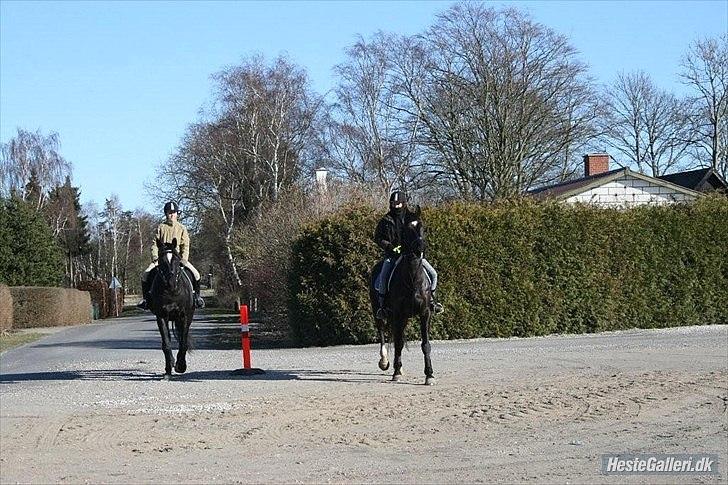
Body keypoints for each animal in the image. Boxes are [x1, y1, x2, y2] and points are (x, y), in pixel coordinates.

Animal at [148, 238, 195, 378]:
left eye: (176, 260)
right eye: (161, 261)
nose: (171, 283)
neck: (172, 292)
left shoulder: (184, 317)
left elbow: (183, 343)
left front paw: (181, 366)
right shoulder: (161, 317)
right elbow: (166, 344)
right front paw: (168, 370)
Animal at [370, 205, 432, 386]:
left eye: (422, 227)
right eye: (407, 229)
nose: (420, 247)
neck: (412, 279)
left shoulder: (425, 313)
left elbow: (425, 344)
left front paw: (429, 375)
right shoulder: (398, 314)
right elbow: (397, 343)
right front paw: (396, 373)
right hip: (379, 313)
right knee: (383, 334)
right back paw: (385, 362)